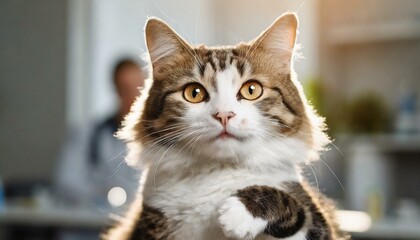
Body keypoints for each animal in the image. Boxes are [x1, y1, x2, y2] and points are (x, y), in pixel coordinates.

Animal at [105, 12, 348, 240]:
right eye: (194, 93)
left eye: (252, 90)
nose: (224, 115)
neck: (219, 171)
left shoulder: (317, 222)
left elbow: (294, 206)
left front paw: (238, 213)